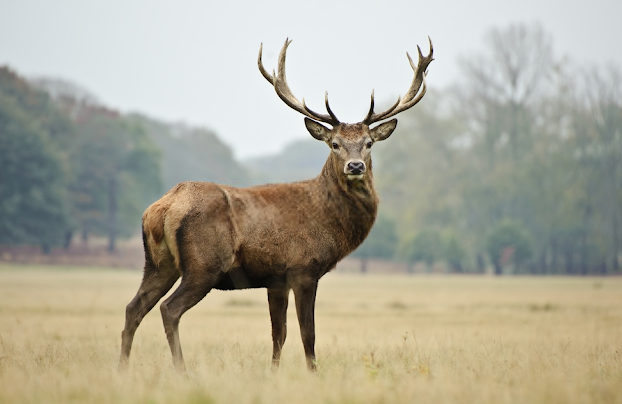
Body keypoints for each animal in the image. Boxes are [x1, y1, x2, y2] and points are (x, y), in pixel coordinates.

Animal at [120, 38, 434, 372]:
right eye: (334, 144)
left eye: (369, 143)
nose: (355, 166)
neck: (328, 220)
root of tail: (161, 208)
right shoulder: (303, 268)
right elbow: (308, 333)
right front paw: (313, 372)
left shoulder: (276, 279)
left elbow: (278, 334)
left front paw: (273, 372)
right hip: (203, 264)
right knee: (169, 309)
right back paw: (181, 370)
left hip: (158, 263)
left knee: (133, 308)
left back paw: (122, 367)